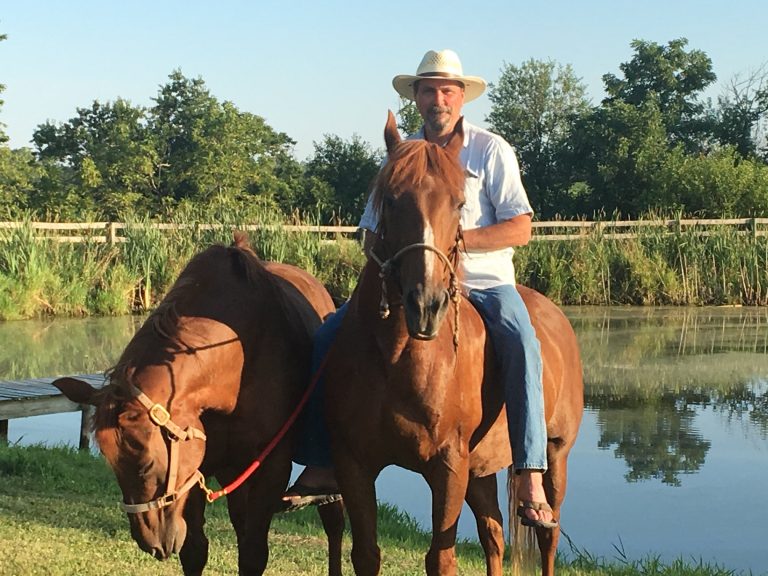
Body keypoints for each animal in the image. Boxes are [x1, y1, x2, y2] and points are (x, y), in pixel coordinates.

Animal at [53, 233, 345, 576]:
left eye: (147, 463)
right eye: (112, 464)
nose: (151, 542)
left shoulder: (271, 468)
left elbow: (253, 554)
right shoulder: (195, 468)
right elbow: (195, 550)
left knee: (334, 523)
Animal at [323, 112, 583, 576]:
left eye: (460, 204)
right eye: (391, 200)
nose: (426, 305)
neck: (398, 359)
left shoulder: (448, 466)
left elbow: (441, 558)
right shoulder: (355, 464)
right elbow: (366, 553)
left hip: (555, 455)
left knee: (547, 535)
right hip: (481, 470)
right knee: (494, 535)